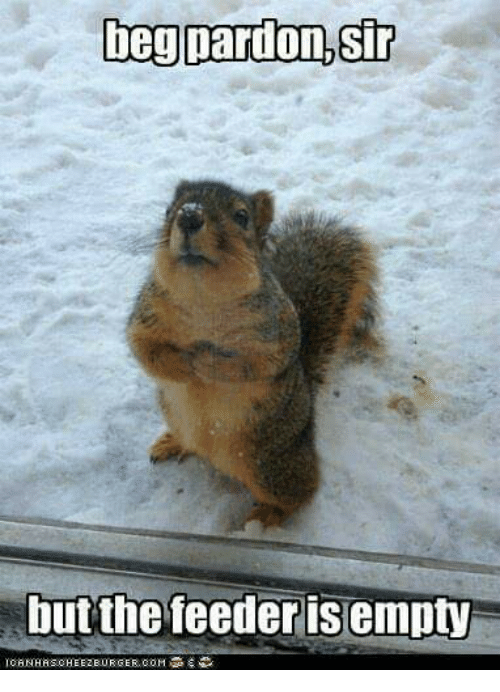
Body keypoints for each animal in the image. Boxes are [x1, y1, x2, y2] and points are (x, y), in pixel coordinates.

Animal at [126, 180, 381, 527]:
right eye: (169, 209)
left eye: (242, 216)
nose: (189, 216)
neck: (202, 297)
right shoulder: (146, 315)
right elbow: (144, 348)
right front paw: (183, 364)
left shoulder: (278, 330)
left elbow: (259, 364)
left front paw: (209, 362)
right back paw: (173, 442)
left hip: (269, 466)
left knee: (303, 492)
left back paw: (268, 515)